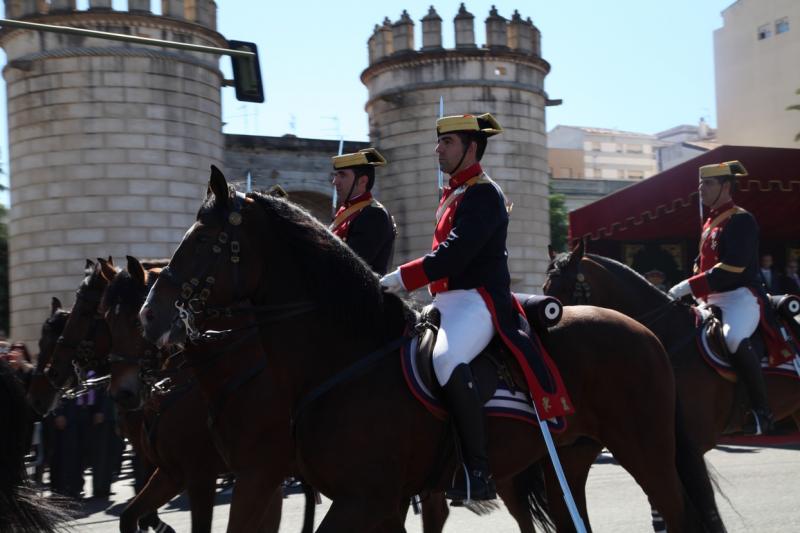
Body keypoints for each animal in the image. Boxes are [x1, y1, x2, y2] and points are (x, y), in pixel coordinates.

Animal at [139, 167, 724, 532]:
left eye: (204, 239)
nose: (151, 316)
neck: (339, 361)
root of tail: (645, 332)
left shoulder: (357, 496)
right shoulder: (373, 497)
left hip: (644, 450)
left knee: (680, 515)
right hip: (569, 458)